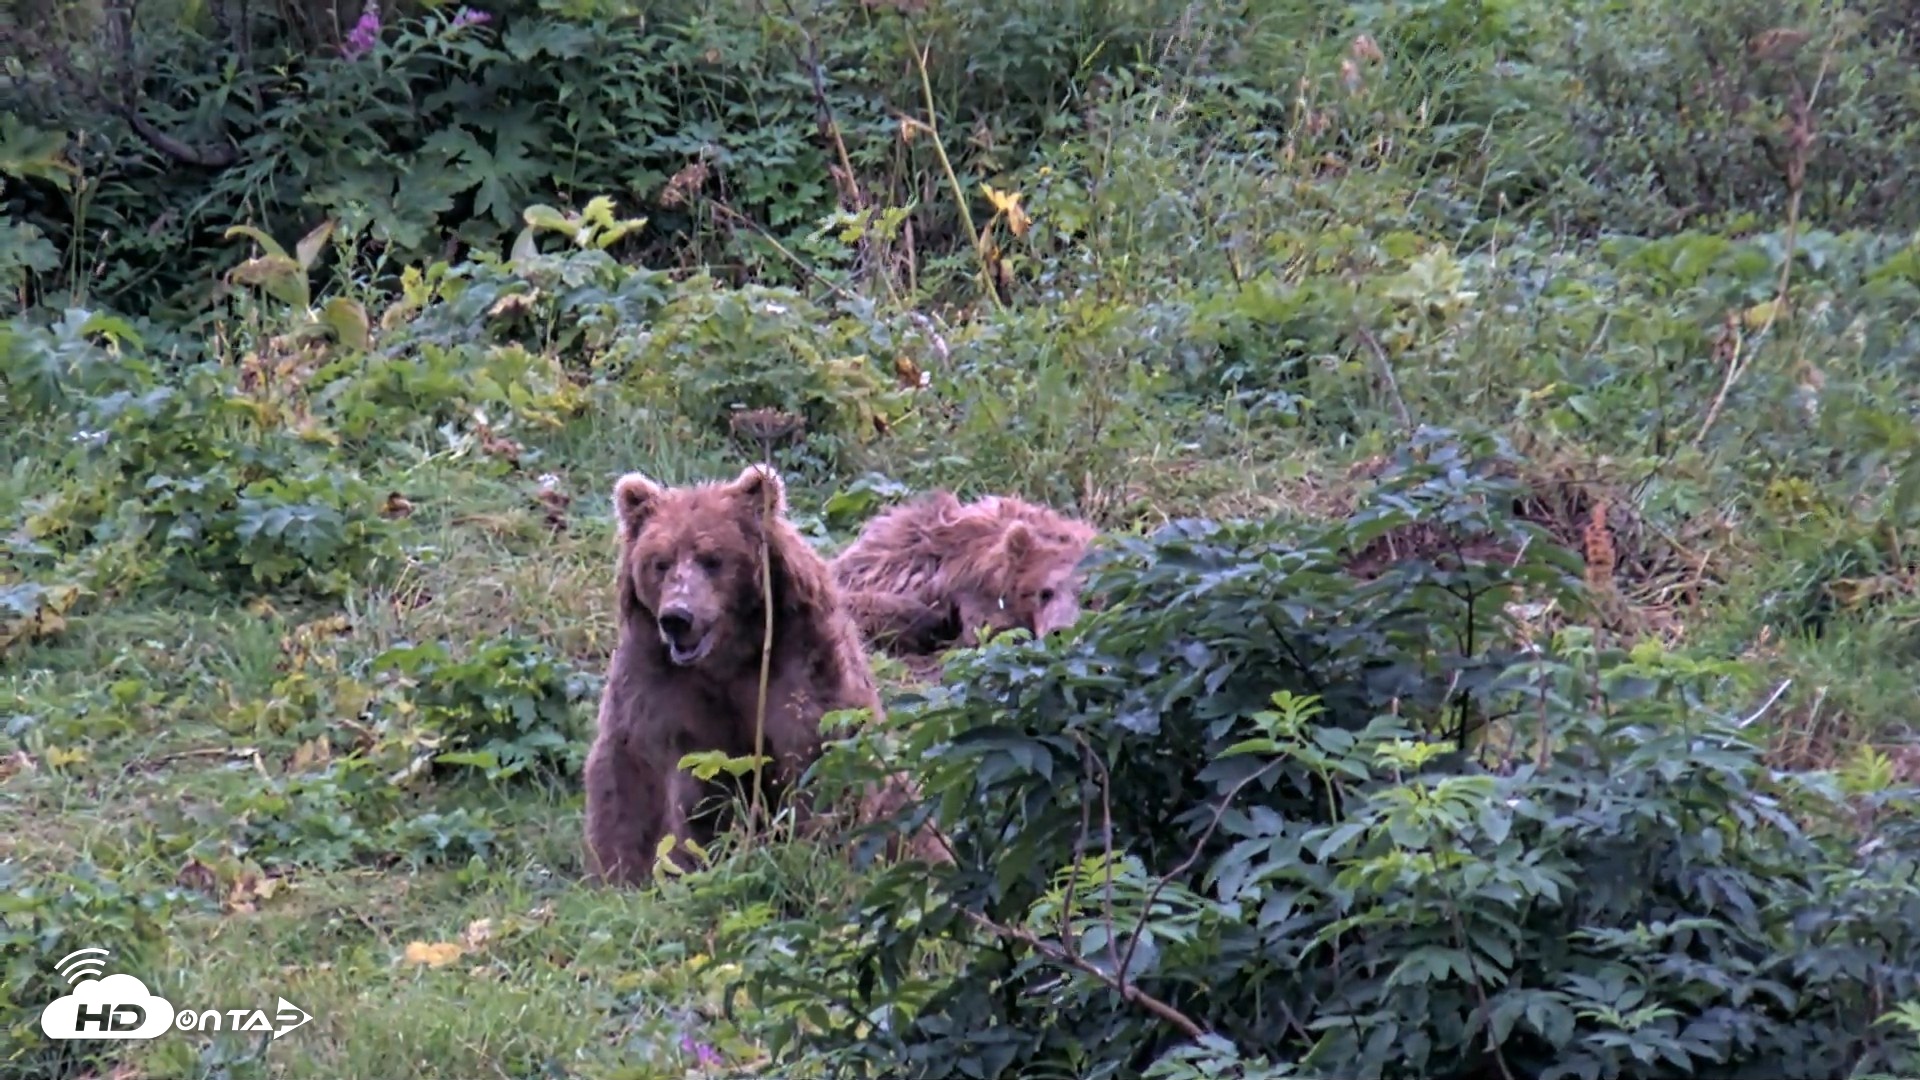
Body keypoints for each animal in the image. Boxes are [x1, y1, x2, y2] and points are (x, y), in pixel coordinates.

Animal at [582, 462, 892, 885]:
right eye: (660, 562)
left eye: (713, 558)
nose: (677, 618)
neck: (729, 656)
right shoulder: (658, 686)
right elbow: (657, 783)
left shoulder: (800, 666)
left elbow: (817, 759)